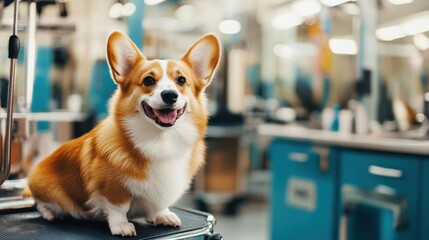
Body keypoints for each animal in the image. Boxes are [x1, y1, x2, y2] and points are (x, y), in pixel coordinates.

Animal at [25, 30, 221, 236]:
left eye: (181, 80)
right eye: (148, 80)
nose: (170, 95)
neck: (161, 139)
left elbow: (158, 205)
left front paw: (162, 215)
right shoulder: (113, 187)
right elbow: (118, 208)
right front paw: (121, 225)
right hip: (45, 186)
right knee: (39, 203)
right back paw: (50, 213)